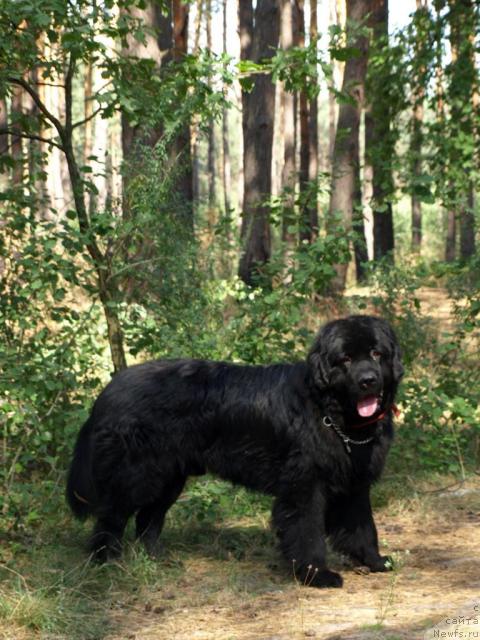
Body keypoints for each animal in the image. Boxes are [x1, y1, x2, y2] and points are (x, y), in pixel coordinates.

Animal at [66, 316, 402, 592]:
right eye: (345, 358)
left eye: (376, 354)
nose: (368, 380)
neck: (331, 414)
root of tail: (109, 390)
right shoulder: (304, 486)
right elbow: (308, 532)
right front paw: (316, 575)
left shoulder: (354, 483)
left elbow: (363, 527)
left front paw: (374, 561)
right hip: (136, 475)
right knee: (111, 516)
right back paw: (105, 561)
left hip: (169, 478)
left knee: (149, 519)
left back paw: (157, 560)